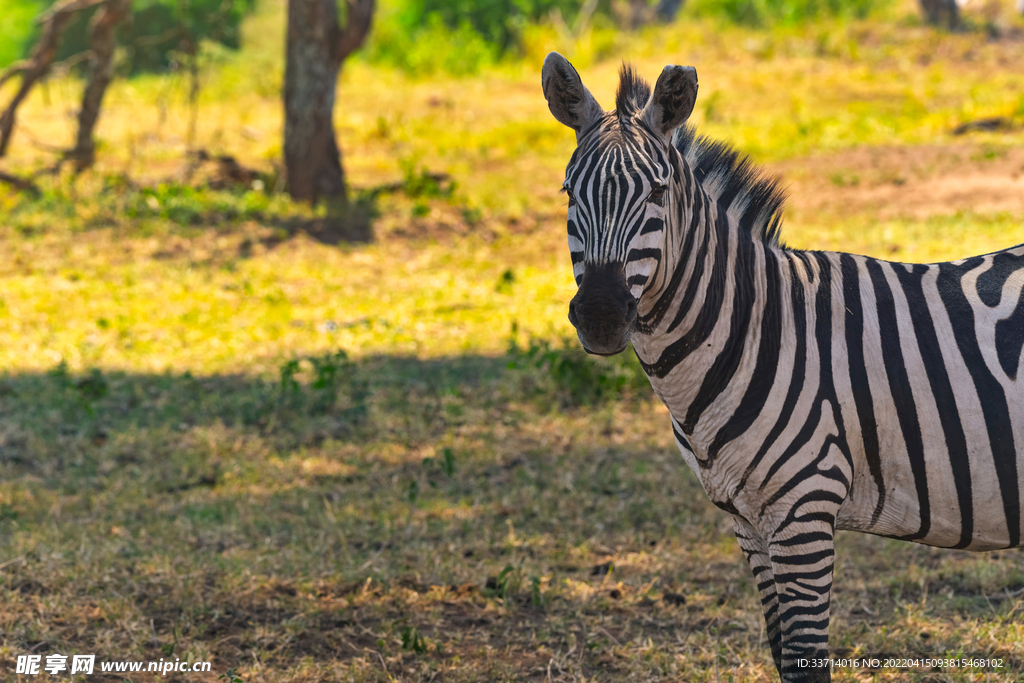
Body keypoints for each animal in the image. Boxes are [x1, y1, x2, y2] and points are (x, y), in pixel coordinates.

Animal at [540, 50, 1019, 679]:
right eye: (569, 192)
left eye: (657, 193)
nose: (599, 316)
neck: (752, 329)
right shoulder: (749, 521)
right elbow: (781, 654)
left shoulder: (804, 510)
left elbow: (806, 657)